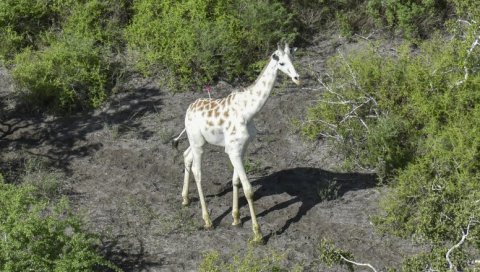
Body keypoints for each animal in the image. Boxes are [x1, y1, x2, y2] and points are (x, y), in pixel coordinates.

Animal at [172, 43, 300, 243]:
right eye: (281, 62)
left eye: (293, 59)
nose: (297, 78)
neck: (249, 111)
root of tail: (188, 110)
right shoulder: (233, 150)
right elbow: (248, 189)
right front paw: (258, 234)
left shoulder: (242, 148)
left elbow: (235, 181)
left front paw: (236, 219)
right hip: (198, 143)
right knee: (197, 171)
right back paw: (207, 220)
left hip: (198, 141)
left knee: (186, 156)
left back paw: (185, 199)